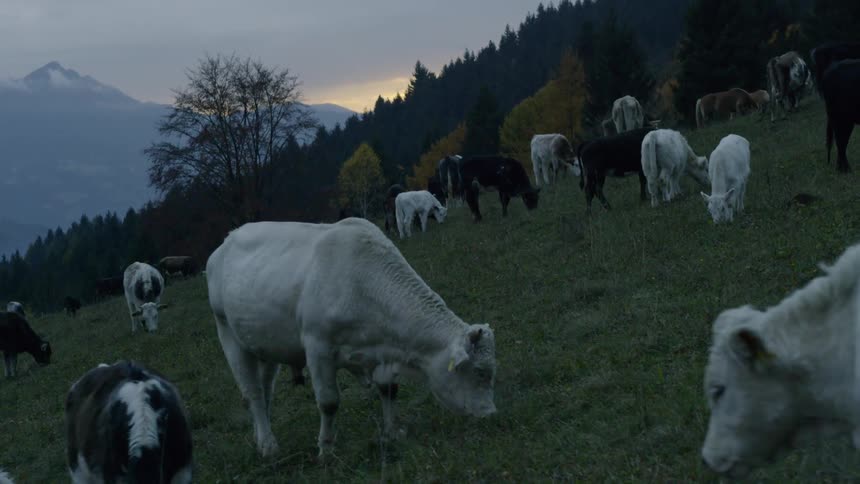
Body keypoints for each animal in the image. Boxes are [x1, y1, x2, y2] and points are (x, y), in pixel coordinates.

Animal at [206, 218, 497, 458]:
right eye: (479, 372)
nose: (490, 414)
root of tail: (226, 241)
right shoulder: (318, 347)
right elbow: (328, 402)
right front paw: (326, 448)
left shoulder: (381, 351)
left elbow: (388, 389)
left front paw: (391, 433)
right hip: (228, 334)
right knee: (252, 393)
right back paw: (268, 446)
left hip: (265, 345)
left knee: (265, 391)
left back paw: (261, 436)